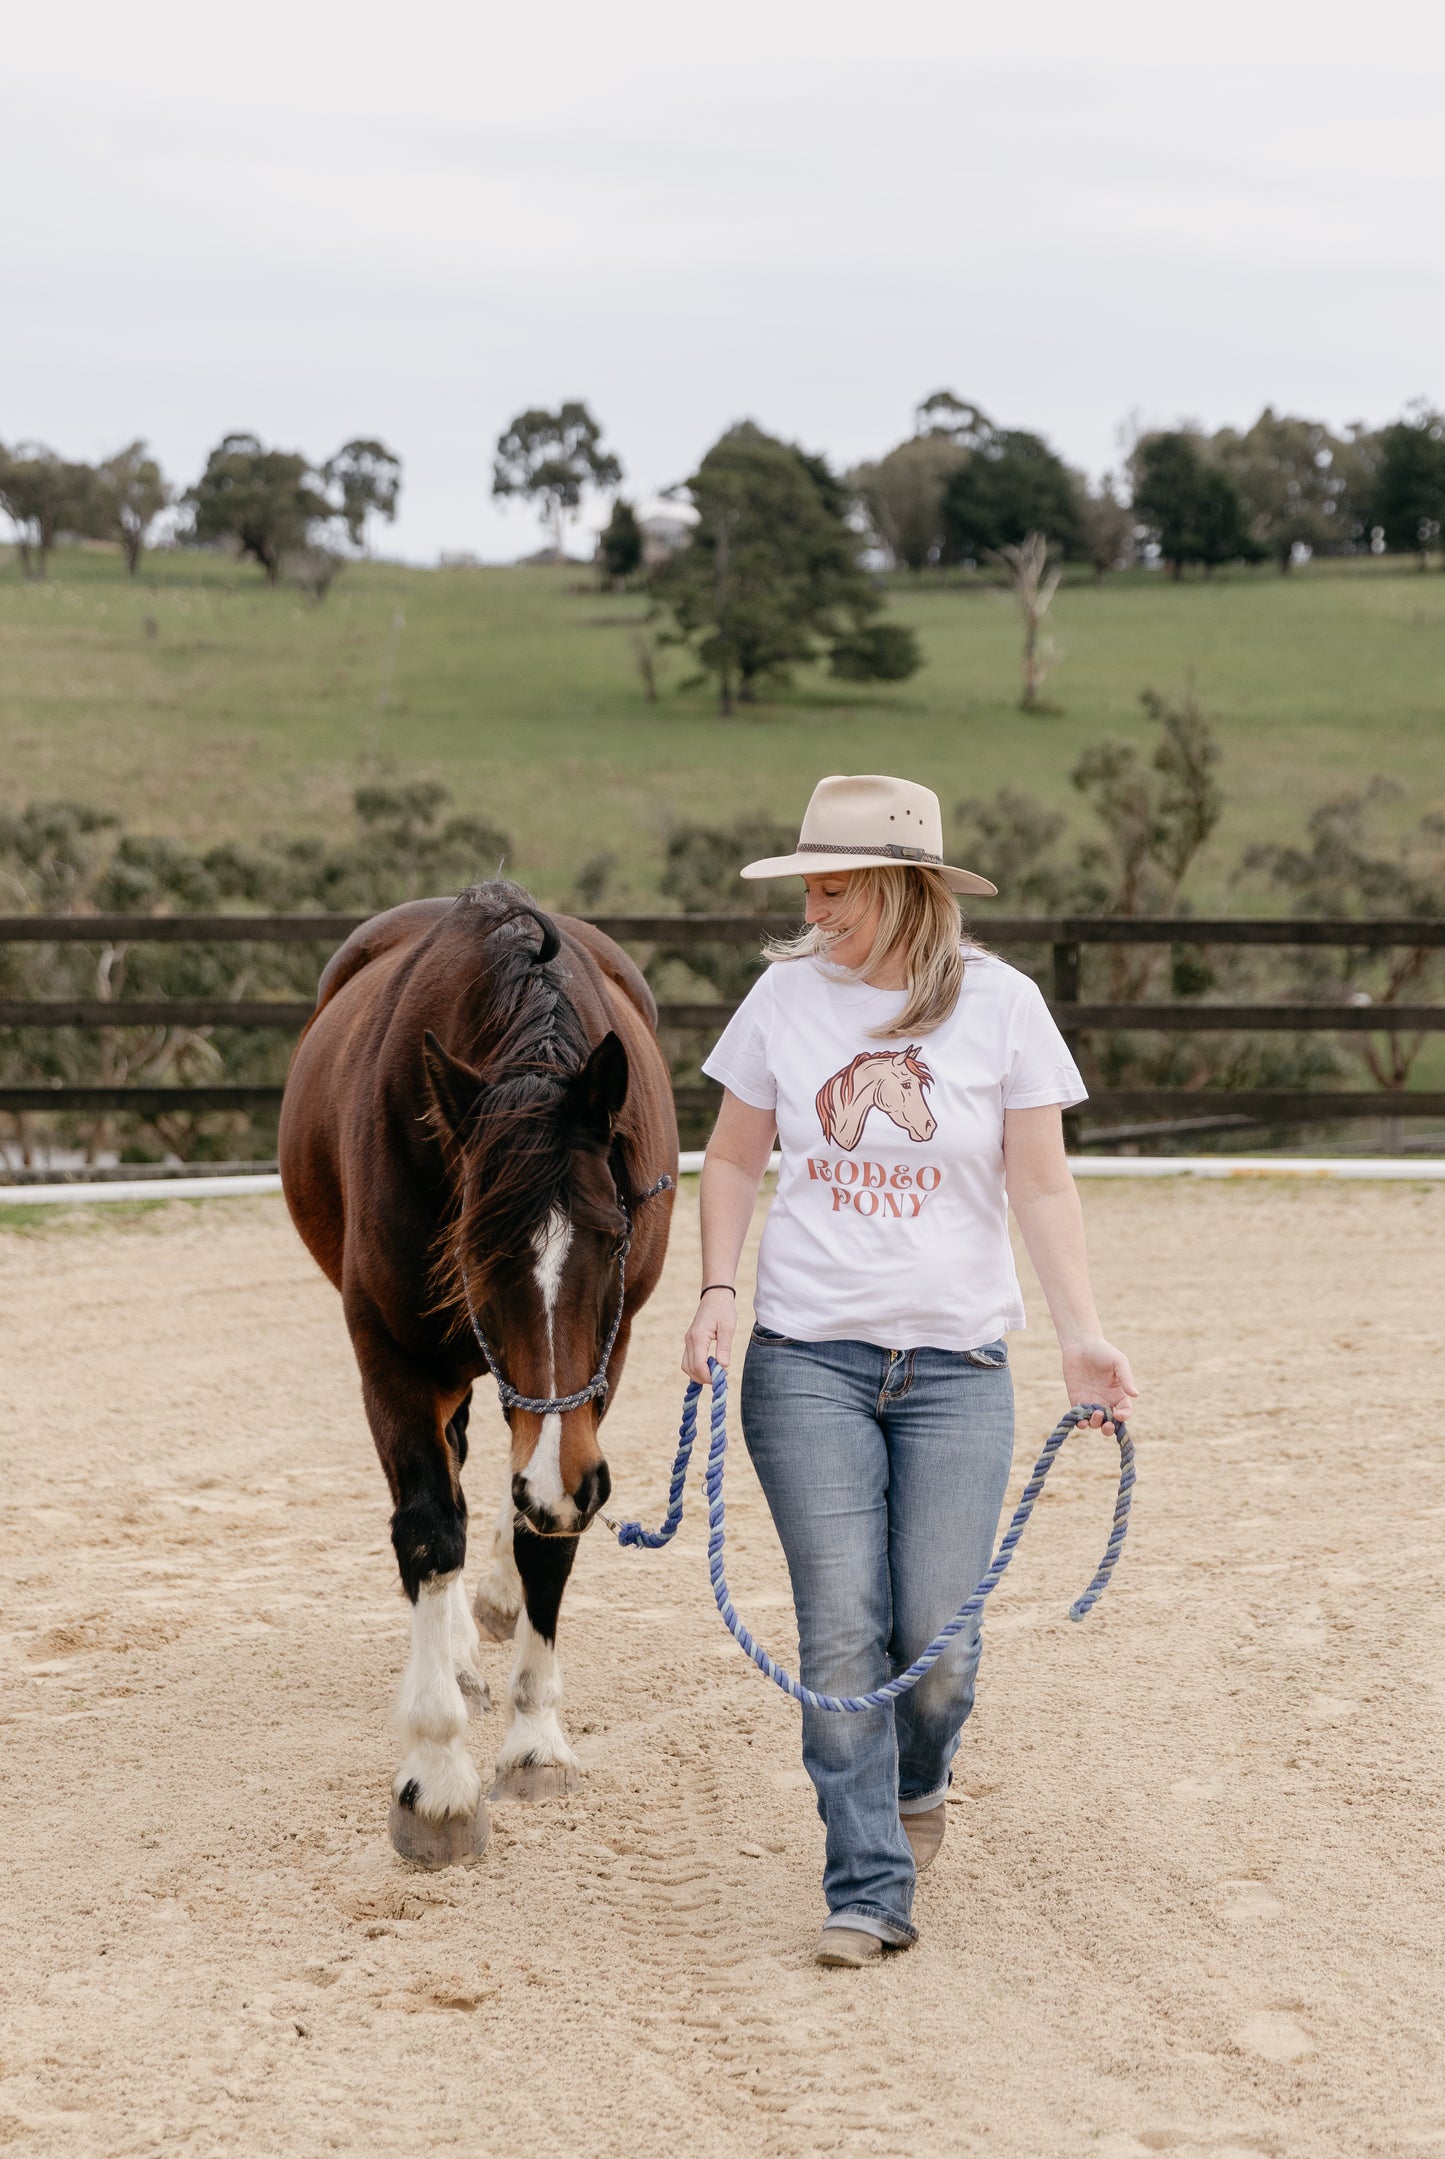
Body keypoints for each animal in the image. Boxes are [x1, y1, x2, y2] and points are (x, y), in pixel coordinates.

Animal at [280, 876, 678, 1856]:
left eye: (613, 1238)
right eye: (471, 1250)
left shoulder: (600, 1363)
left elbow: (546, 1532)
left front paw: (535, 1741)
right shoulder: (390, 1353)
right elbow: (430, 1526)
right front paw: (435, 1775)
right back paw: (458, 1654)